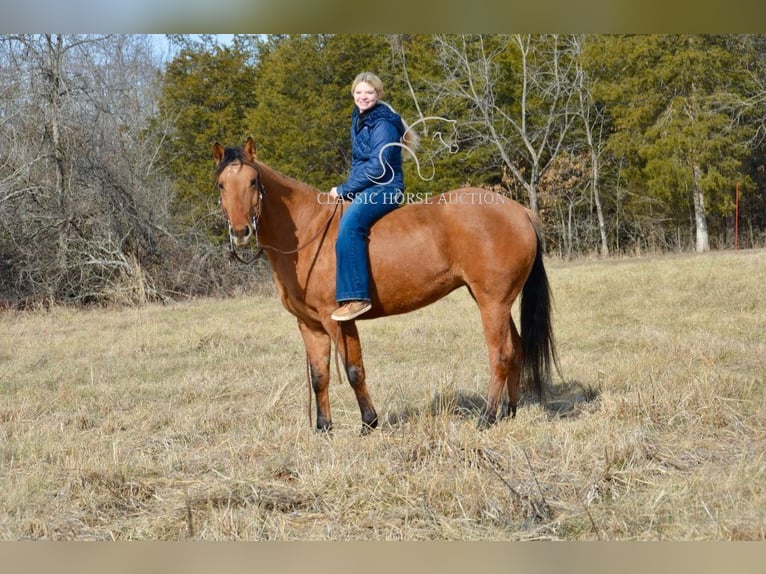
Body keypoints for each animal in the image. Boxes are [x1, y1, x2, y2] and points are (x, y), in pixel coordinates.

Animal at [213, 140, 560, 434]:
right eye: (221, 185)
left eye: (253, 182)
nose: (241, 232)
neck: (308, 230)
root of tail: (520, 211)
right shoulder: (310, 325)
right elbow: (319, 376)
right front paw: (323, 428)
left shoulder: (338, 320)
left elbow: (353, 370)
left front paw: (369, 422)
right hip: (495, 301)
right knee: (516, 349)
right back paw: (507, 412)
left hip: (493, 303)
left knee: (500, 354)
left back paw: (486, 418)